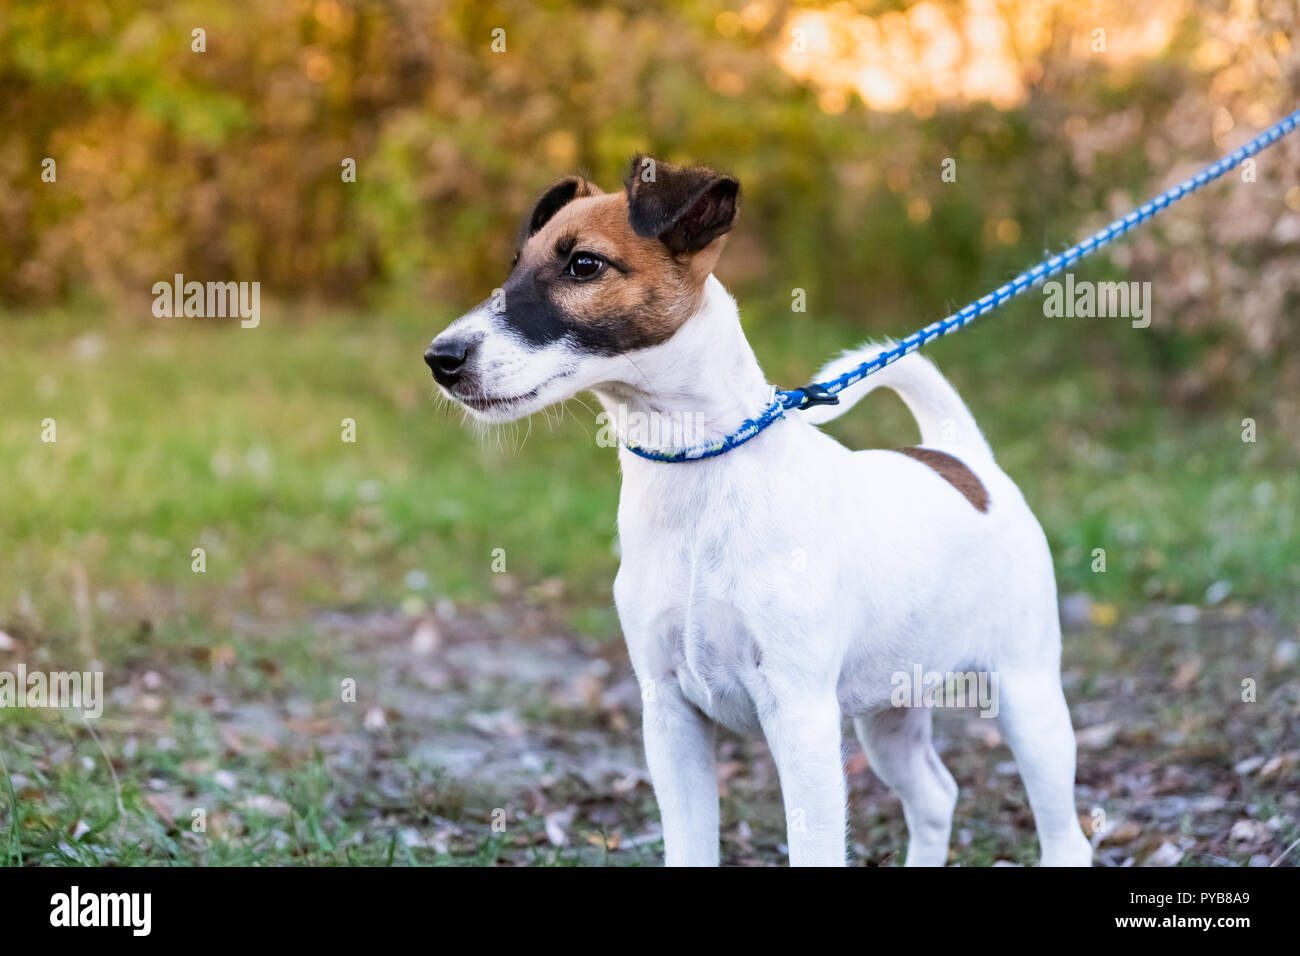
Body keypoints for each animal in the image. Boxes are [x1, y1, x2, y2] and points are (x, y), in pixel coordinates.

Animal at [421, 157, 1092, 868]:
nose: (440, 358)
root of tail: (963, 458)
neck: (699, 474)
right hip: (890, 706)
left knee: (1065, 835)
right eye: (514, 264)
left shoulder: (800, 716)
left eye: (584, 265)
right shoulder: (670, 715)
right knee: (936, 794)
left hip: (1028, 695)